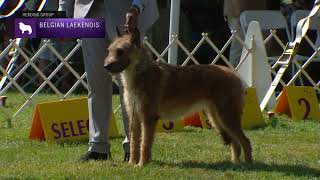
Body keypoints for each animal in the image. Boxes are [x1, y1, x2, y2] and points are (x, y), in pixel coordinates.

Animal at [105, 29, 252, 166]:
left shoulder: (148, 118)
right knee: (235, 142)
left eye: (120, 51)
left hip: (226, 117)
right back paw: (235, 162)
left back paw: (248, 164)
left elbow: (144, 144)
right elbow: (134, 143)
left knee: (245, 141)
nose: (106, 66)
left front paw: (141, 164)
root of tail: (233, 73)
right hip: (217, 118)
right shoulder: (134, 117)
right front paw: (132, 163)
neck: (141, 73)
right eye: (109, 51)